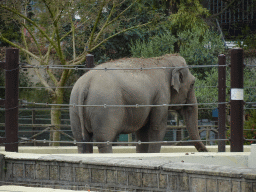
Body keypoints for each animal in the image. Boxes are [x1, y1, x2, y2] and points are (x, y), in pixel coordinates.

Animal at [69, 54, 208, 153]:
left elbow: (143, 132)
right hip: (104, 108)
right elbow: (157, 127)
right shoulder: (161, 95)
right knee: (104, 141)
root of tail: (85, 84)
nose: (205, 150)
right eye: (193, 84)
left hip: (74, 106)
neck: (163, 60)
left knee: (82, 141)